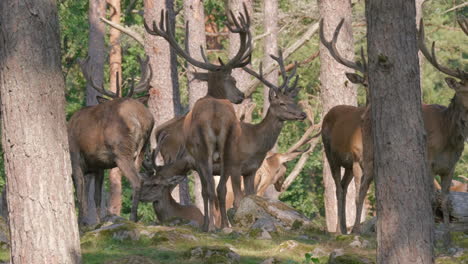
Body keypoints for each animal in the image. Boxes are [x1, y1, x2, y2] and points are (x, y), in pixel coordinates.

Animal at [68, 56, 153, 226]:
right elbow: (96, 197)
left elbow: (81, 194)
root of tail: (139, 118)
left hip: (121, 150)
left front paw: (82, 225)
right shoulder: (98, 166)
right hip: (141, 150)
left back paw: (132, 219)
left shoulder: (75, 157)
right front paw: (97, 222)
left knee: (137, 181)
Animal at [320, 17, 468, 236]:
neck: (449, 138)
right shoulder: (427, 162)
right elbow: (432, 200)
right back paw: (352, 230)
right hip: (346, 156)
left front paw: (447, 234)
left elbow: (445, 202)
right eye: (464, 88)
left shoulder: (450, 168)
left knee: (349, 187)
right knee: (349, 188)